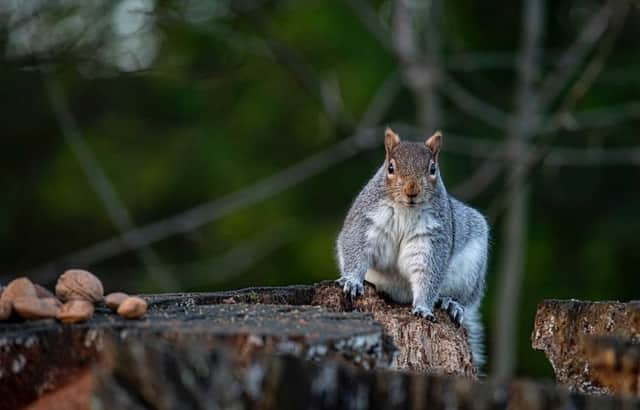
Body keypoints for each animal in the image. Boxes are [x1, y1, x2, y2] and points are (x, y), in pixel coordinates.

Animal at [338, 126, 488, 366]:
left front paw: (423, 308)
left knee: (466, 298)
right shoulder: (366, 221)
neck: (406, 209)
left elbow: (428, 272)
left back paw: (451, 303)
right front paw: (352, 281)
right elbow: (356, 248)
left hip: (471, 269)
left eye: (433, 169)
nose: (412, 190)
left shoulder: (432, 238)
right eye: (390, 167)